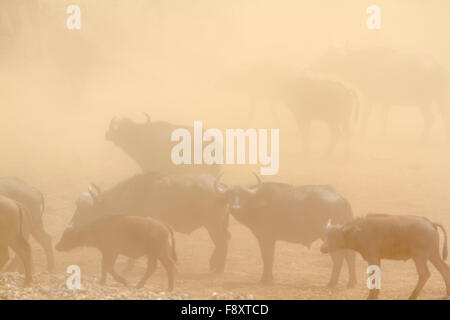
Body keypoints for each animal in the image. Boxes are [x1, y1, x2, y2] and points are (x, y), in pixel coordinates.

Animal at [215, 172, 358, 288]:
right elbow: (269, 257)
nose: (235, 208)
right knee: (349, 256)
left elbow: (267, 257)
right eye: (229, 195)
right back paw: (351, 283)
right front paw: (269, 279)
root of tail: (341, 198)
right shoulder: (270, 239)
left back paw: (332, 283)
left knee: (339, 258)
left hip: (329, 237)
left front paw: (265, 280)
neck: (258, 202)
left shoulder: (266, 238)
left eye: (243, 195)